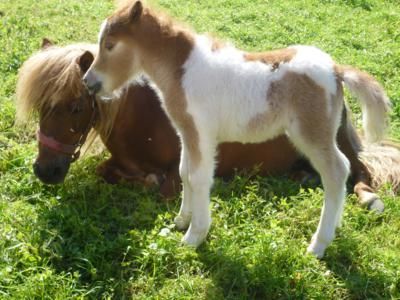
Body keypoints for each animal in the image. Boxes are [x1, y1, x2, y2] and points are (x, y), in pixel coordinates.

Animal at [83, 0, 392, 258]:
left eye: (110, 45)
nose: (89, 82)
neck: (181, 71)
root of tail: (337, 70)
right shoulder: (187, 133)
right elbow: (184, 172)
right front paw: (181, 220)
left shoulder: (202, 134)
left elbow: (198, 177)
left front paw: (194, 237)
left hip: (312, 134)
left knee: (338, 171)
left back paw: (318, 245)